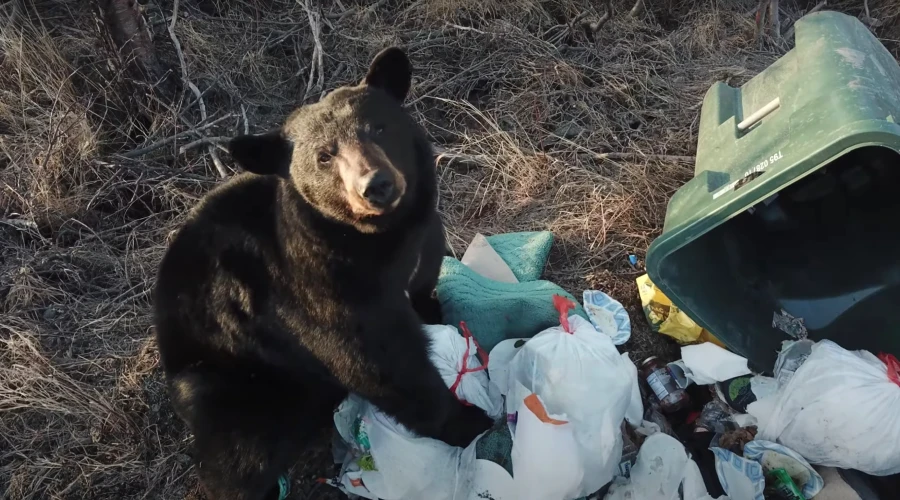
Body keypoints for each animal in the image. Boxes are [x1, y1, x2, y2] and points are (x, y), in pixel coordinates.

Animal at [153, 47, 494, 500]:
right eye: (324, 156)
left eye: (378, 127)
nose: (376, 185)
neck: (380, 241)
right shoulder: (323, 292)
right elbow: (382, 364)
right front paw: (472, 421)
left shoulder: (425, 242)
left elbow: (424, 285)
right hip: (230, 381)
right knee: (241, 455)